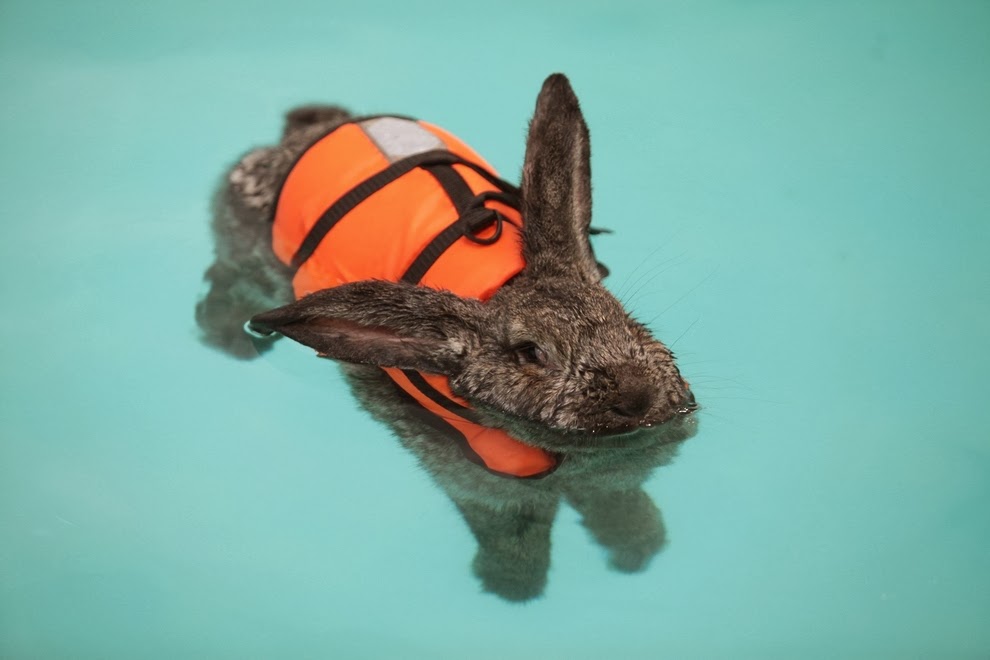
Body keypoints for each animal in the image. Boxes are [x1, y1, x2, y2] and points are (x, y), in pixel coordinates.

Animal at [195, 73, 699, 602]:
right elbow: (517, 536)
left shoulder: (611, 482)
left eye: (620, 314)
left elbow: (619, 504)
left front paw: (638, 547)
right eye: (530, 353)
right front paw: (511, 583)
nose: (637, 395)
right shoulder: (487, 488)